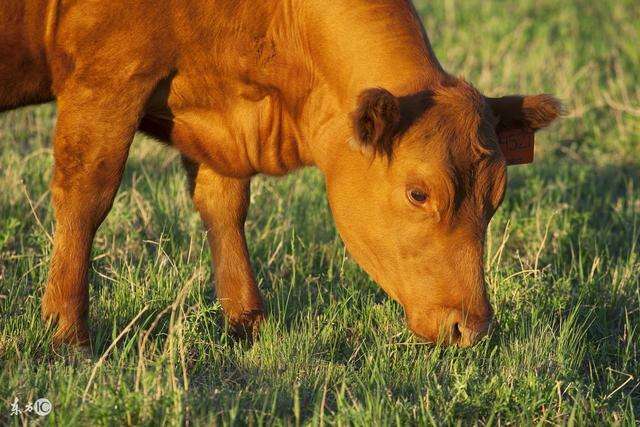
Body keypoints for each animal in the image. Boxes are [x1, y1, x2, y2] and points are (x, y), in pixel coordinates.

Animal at [1, 0, 560, 348]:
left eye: (497, 196)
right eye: (419, 193)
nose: (472, 327)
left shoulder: (220, 124)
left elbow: (224, 207)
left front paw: (247, 321)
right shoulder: (107, 77)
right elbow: (86, 196)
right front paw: (66, 330)